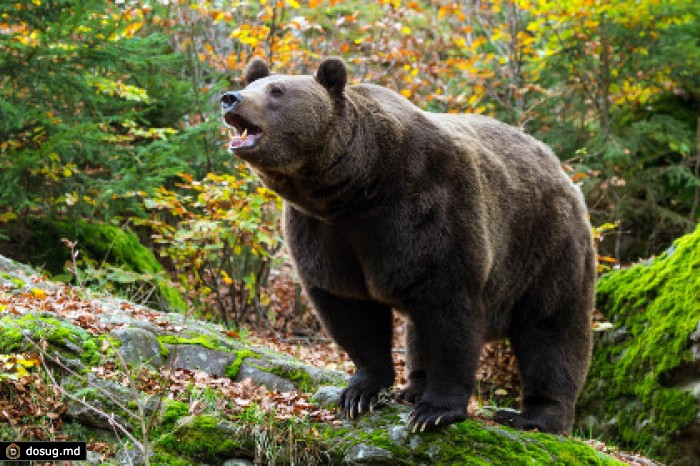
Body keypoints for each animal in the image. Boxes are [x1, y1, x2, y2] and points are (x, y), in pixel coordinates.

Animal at [221, 57, 592, 434]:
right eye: (252, 84)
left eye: (277, 91)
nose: (230, 98)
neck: (358, 187)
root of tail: (560, 170)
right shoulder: (325, 231)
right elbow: (350, 308)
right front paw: (360, 393)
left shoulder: (430, 208)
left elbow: (449, 314)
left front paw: (435, 411)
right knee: (418, 329)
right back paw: (412, 388)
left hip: (546, 246)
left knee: (551, 330)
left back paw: (536, 417)